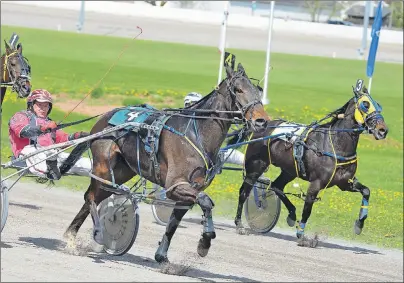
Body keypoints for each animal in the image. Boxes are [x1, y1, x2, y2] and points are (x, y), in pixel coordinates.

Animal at [63, 63, 270, 262]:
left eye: (258, 90)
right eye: (238, 89)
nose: (262, 121)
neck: (196, 133)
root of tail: (103, 118)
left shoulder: (189, 190)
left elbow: (173, 223)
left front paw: (162, 256)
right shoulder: (175, 185)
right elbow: (206, 201)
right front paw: (205, 242)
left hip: (122, 171)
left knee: (96, 197)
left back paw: (70, 236)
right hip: (103, 167)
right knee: (90, 197)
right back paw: (96, 233)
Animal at [227, 79, 388, 242]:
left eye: (378, 104)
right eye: (365, 104)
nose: (382, 130)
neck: (335, 144)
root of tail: (260, 126)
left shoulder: (344, 182)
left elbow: (366, 191)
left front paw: (359, 224)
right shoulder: (316, 184)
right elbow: (307, 209)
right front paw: (301, 234)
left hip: (289, 170)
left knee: (276, 186)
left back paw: (292, 214)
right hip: (256, 167)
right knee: (244, 192)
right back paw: (239, 223)